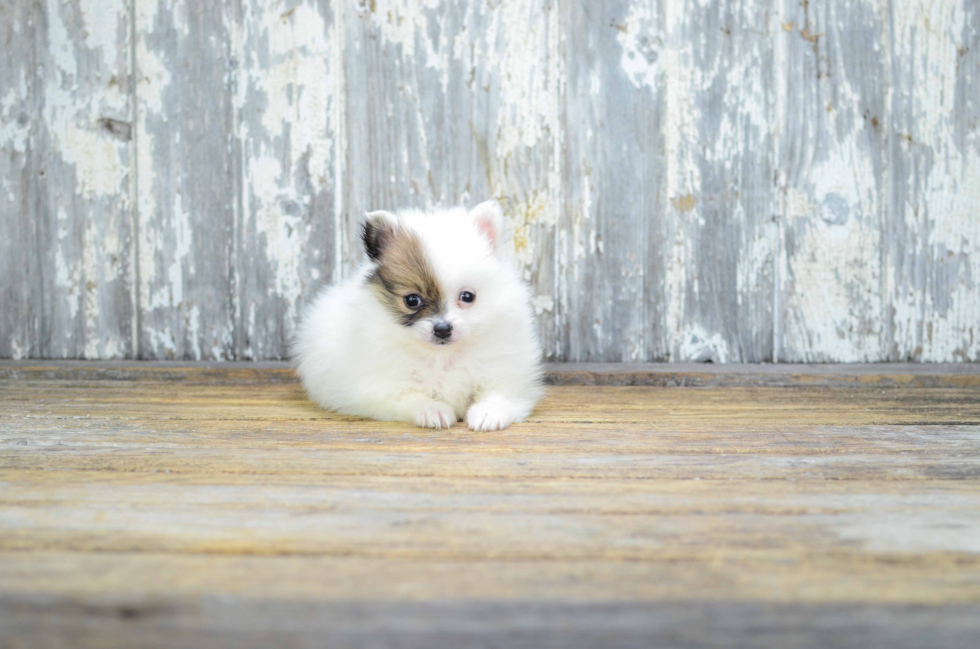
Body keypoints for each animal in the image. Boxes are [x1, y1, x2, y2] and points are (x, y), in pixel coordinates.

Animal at [294, 197, 548, 430]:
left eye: (467, 296)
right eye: (412, 300)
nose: (443, 329)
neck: (443, 356)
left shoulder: (509, 373)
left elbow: (499, 393)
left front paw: (488, 413)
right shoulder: (379, 386)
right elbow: (410, 396)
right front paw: (433, 410)